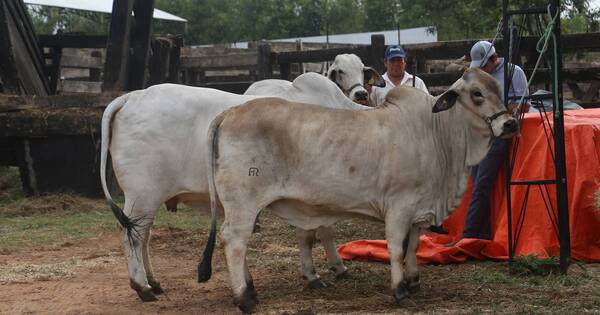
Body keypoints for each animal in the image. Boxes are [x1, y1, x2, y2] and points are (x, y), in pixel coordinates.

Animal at [101, 71, 378, 302]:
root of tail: (132, 96)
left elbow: (314, 234)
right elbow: (316, 234)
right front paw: (325, 272)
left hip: (149, 198)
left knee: (143, 235)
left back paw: (154, 282)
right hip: (142, 195)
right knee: (131, 235)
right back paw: (142, 287)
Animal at [199, 68, 516, 314]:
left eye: (498, 89)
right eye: (476, 93)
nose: (510, 123)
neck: (435, 132)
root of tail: (229, 112)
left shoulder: (418, 209)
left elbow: (413, 246)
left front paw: (414, 281)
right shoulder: (399, 206)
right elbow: (395, 247)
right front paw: (400, 290)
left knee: (238, 241)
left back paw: (251, 288)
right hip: (243, 202)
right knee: (234, 240)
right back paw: (244, 297)